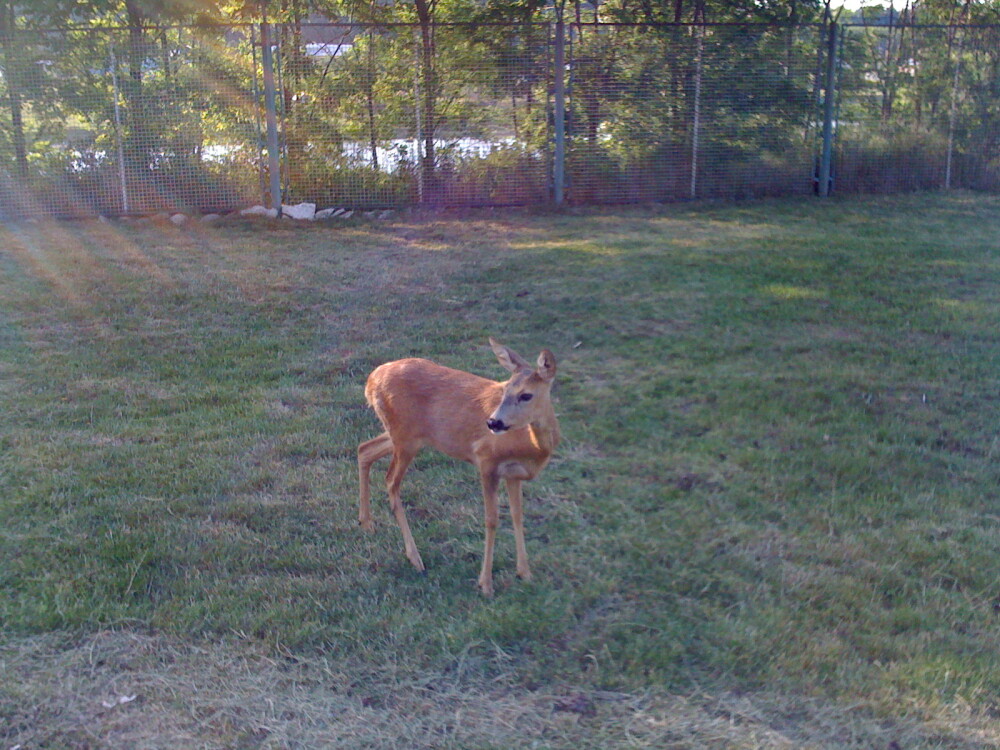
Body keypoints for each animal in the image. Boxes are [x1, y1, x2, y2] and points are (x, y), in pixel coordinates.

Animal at [360, 340, 564, 600]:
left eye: (526, 395)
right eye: (505, 389)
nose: (493, 422)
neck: (533, 447)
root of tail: (372, 379)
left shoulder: (513, 474)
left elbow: (518, 515)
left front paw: (525, 573)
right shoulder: (486, 460)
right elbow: (491, 520)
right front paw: (486, 584)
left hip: (404, 436)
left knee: (364, 450)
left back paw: (366, 523)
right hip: (405, 438)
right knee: (390, 482)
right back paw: (415, 558)